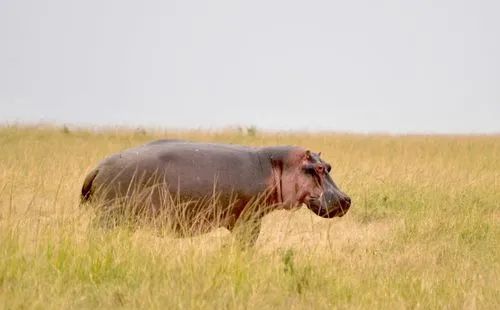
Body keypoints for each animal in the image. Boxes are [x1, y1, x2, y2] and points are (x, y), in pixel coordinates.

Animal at [81, 140, 352, 245]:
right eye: (317, 168)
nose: (346, 199)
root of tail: (98, 167)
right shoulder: (249, 219)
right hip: (109, 218)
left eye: (328, 166)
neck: (276, 165)